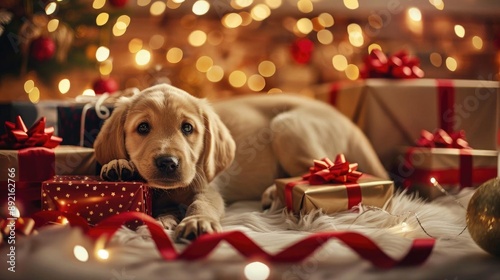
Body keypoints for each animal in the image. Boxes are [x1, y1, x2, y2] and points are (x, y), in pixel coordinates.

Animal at [94, 83, 386, 241]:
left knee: (315, 171)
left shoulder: (209, 186)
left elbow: (202, 203)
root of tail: (353, 126)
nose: (168, 162)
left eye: (187, 128)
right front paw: (118, 167)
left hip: (287, 125)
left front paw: (196, 221)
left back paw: (273, 194)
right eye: (143, 128)